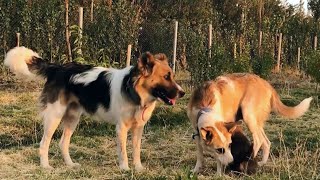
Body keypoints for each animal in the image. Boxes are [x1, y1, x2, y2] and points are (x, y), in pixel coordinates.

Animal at [4, 46, 185, 170]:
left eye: (172, 76)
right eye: (166, 77)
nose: (182, 93)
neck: (134, 90)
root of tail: (57, 68)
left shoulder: (138, 127)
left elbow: (136, 150)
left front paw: (138, 168)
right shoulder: (121, 128)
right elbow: (123, 152)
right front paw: (125, 169)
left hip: (72, 118)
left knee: (63, 143)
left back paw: (70, 165)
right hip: (54, 116)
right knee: (44, 143)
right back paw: (46, 167)